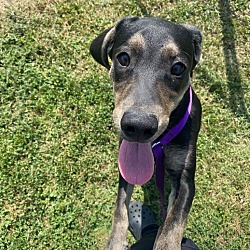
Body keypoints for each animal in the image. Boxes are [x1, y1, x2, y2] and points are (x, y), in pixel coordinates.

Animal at [89, 17, 202, 250]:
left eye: (178, 67)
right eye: (123, 58)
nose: (139, 127)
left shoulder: (186, 179)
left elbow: (174, 221)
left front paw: (166, 242)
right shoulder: (125, 167)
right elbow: (120, 207)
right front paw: (116, 242)